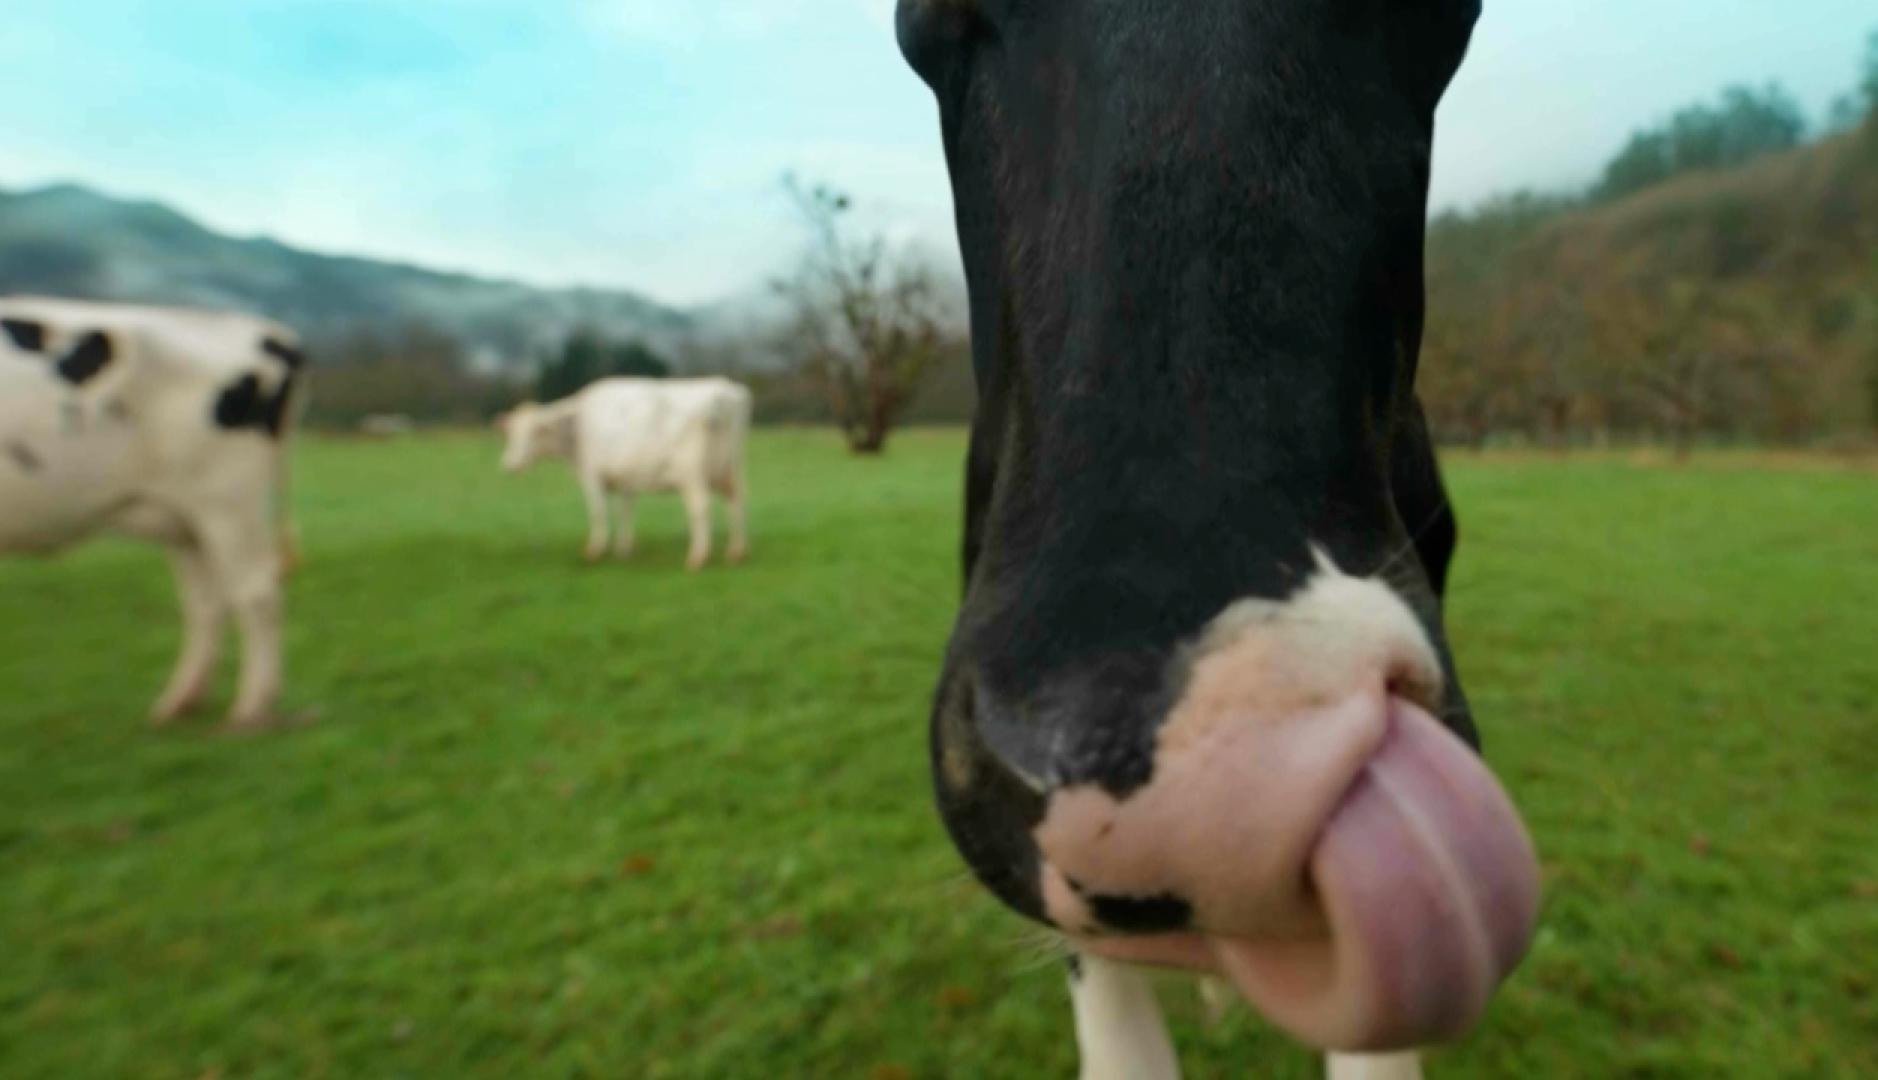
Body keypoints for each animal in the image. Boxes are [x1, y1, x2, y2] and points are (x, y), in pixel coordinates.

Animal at [0, 296, 306, 730]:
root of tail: (267, 331)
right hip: (186, 521)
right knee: (206, 602)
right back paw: (180, 703)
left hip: (227, 500)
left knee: (256, 595)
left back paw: (250, 710)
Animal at [498, 377, 752, 571]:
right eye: (512, 434)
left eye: (534, 433)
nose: (510, 464)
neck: (578, 426)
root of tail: (722, 391)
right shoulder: (626, 479)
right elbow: (624, 512)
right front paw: (624, 549)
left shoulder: (592, 476)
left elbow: (598, 512)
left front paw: (595, 550)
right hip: (731, 471)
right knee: (736, 503)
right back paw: (736, 552)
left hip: (692, 476)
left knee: (700, 508)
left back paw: (698, 557)